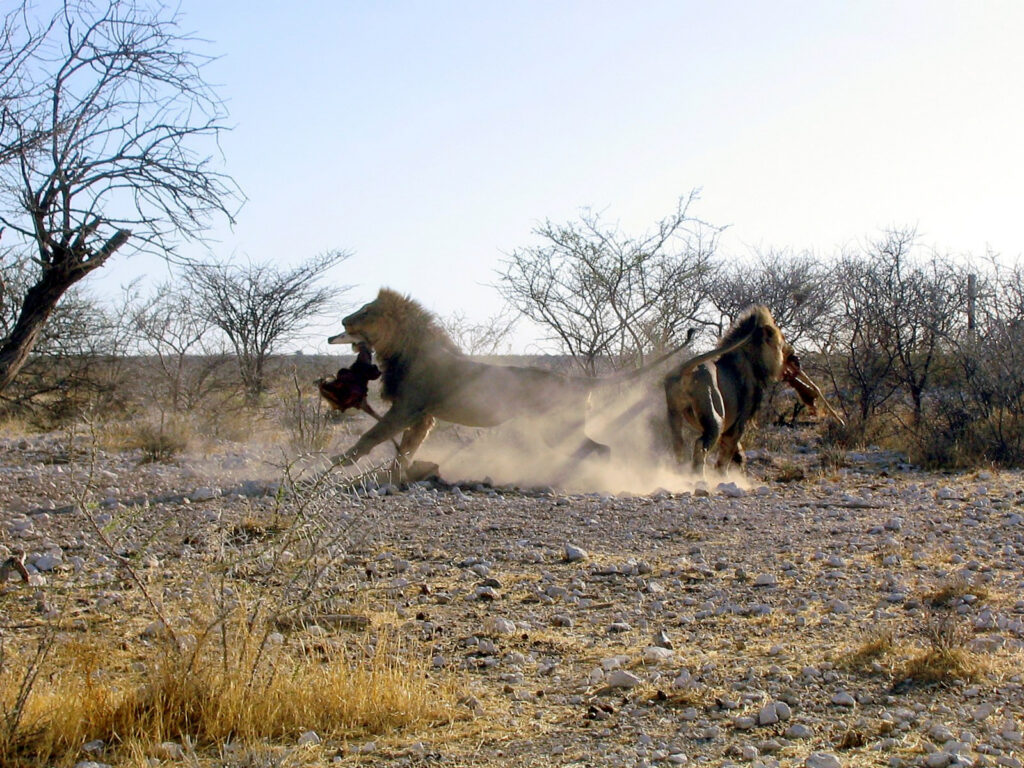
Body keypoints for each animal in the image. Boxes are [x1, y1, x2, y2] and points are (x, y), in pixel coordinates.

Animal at [328, 288, 692, 473]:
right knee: (595, 449)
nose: (342, 320)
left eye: (364, 311)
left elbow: (371, 437)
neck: (400, 348)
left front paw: (336, 463)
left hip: (558, 427)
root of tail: (578, 381)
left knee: (600, 450)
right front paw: (395, 475)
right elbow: (405, 449)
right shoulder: (424, 415)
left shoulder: (408, 407)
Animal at [663, 305, 790, 477]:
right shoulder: (738, 423)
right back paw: (698, 477)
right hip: (716, 416)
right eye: (782, 339)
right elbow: (727, 454)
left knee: (678, 444)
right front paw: (723, 477)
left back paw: (679, 472)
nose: (791, 352)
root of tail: (686, 369)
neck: (752, 360)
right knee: (700, 444)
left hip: (674, 412)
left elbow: (737, 451)